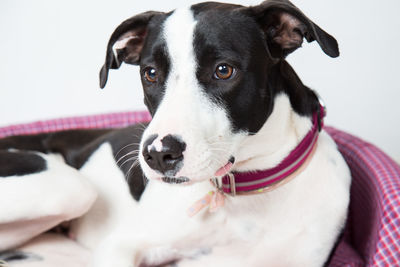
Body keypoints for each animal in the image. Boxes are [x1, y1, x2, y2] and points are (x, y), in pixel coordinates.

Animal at [0, 1, 350, 266]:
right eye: (150, 73)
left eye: (224, 70)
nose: (157, 155)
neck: (246, 195)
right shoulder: (121, 245)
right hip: (71, 187)